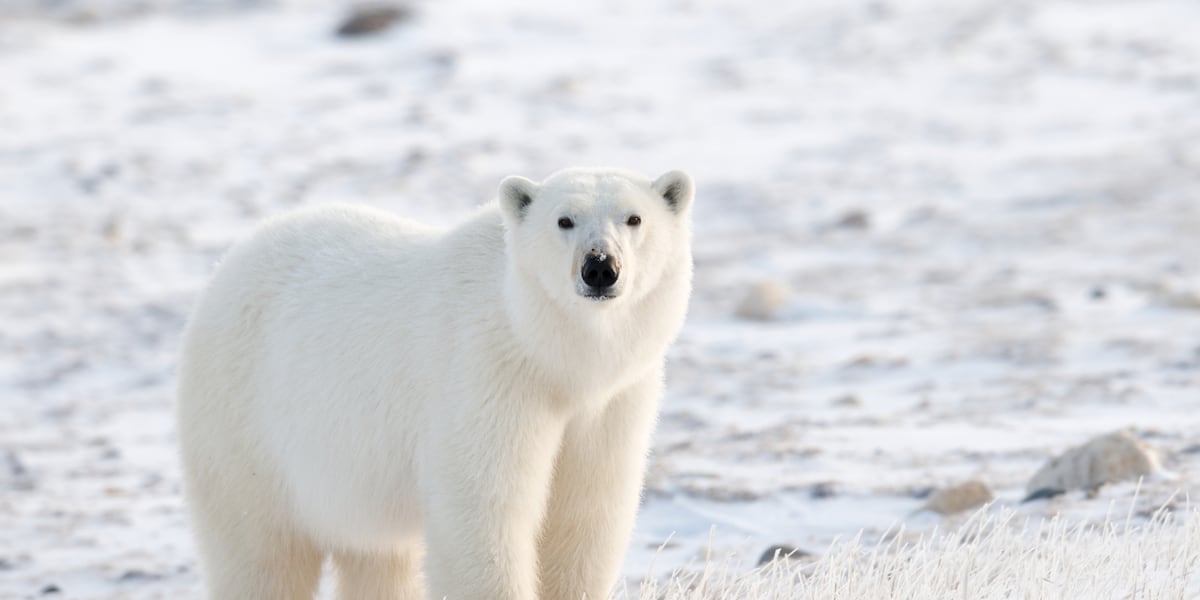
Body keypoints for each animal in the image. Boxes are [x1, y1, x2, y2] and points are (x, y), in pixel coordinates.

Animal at [176, 166, 696, 597]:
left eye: (634, 218)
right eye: (564, 220)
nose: (600, 266)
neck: (552, 357)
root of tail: (227, 265)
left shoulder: (612, 402)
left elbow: (584, 516)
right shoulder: (486, 376)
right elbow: (484, 511)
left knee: (378, 560)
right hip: (247, 430)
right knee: (260, 553)